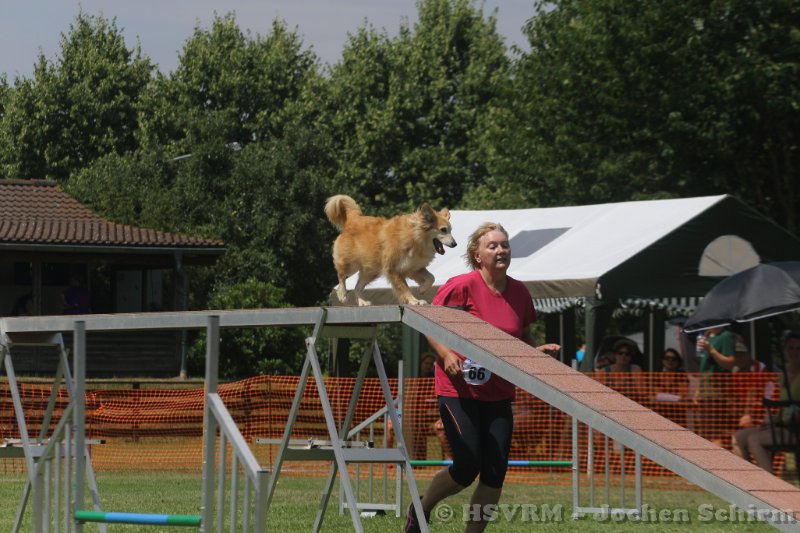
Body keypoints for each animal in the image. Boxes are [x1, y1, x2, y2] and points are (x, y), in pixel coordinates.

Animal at [324, 194, 456, 306]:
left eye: (450, 230)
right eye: (443, 230)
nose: (455, 244)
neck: (415, 238)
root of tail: (354, 218)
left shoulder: (413, 268)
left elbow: (431, 278)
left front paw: (422, 289)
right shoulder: (393, 269)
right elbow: (404, 287)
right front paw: (414, 300)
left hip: (371, 271)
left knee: (357, 287)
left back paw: (362, 302)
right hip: (350, 264)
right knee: (341, 275)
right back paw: (342, 295)